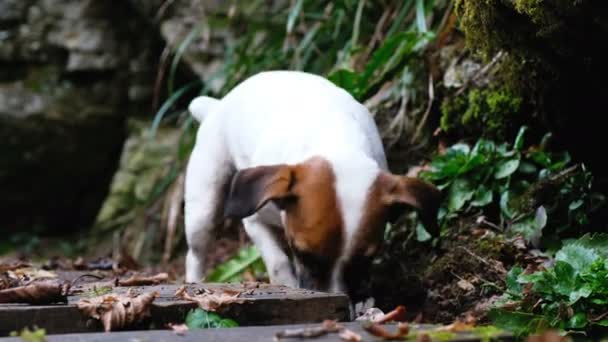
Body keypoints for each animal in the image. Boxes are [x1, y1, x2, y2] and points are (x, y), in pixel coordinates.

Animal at [183, 70, 440, 300]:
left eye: (365, 260)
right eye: (304, 254)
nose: (338, 298)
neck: (336, 141)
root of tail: (217, 106)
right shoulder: (255, 220)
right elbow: (278, 261)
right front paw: (287, 285)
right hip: (203, 209)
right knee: (195, 253)